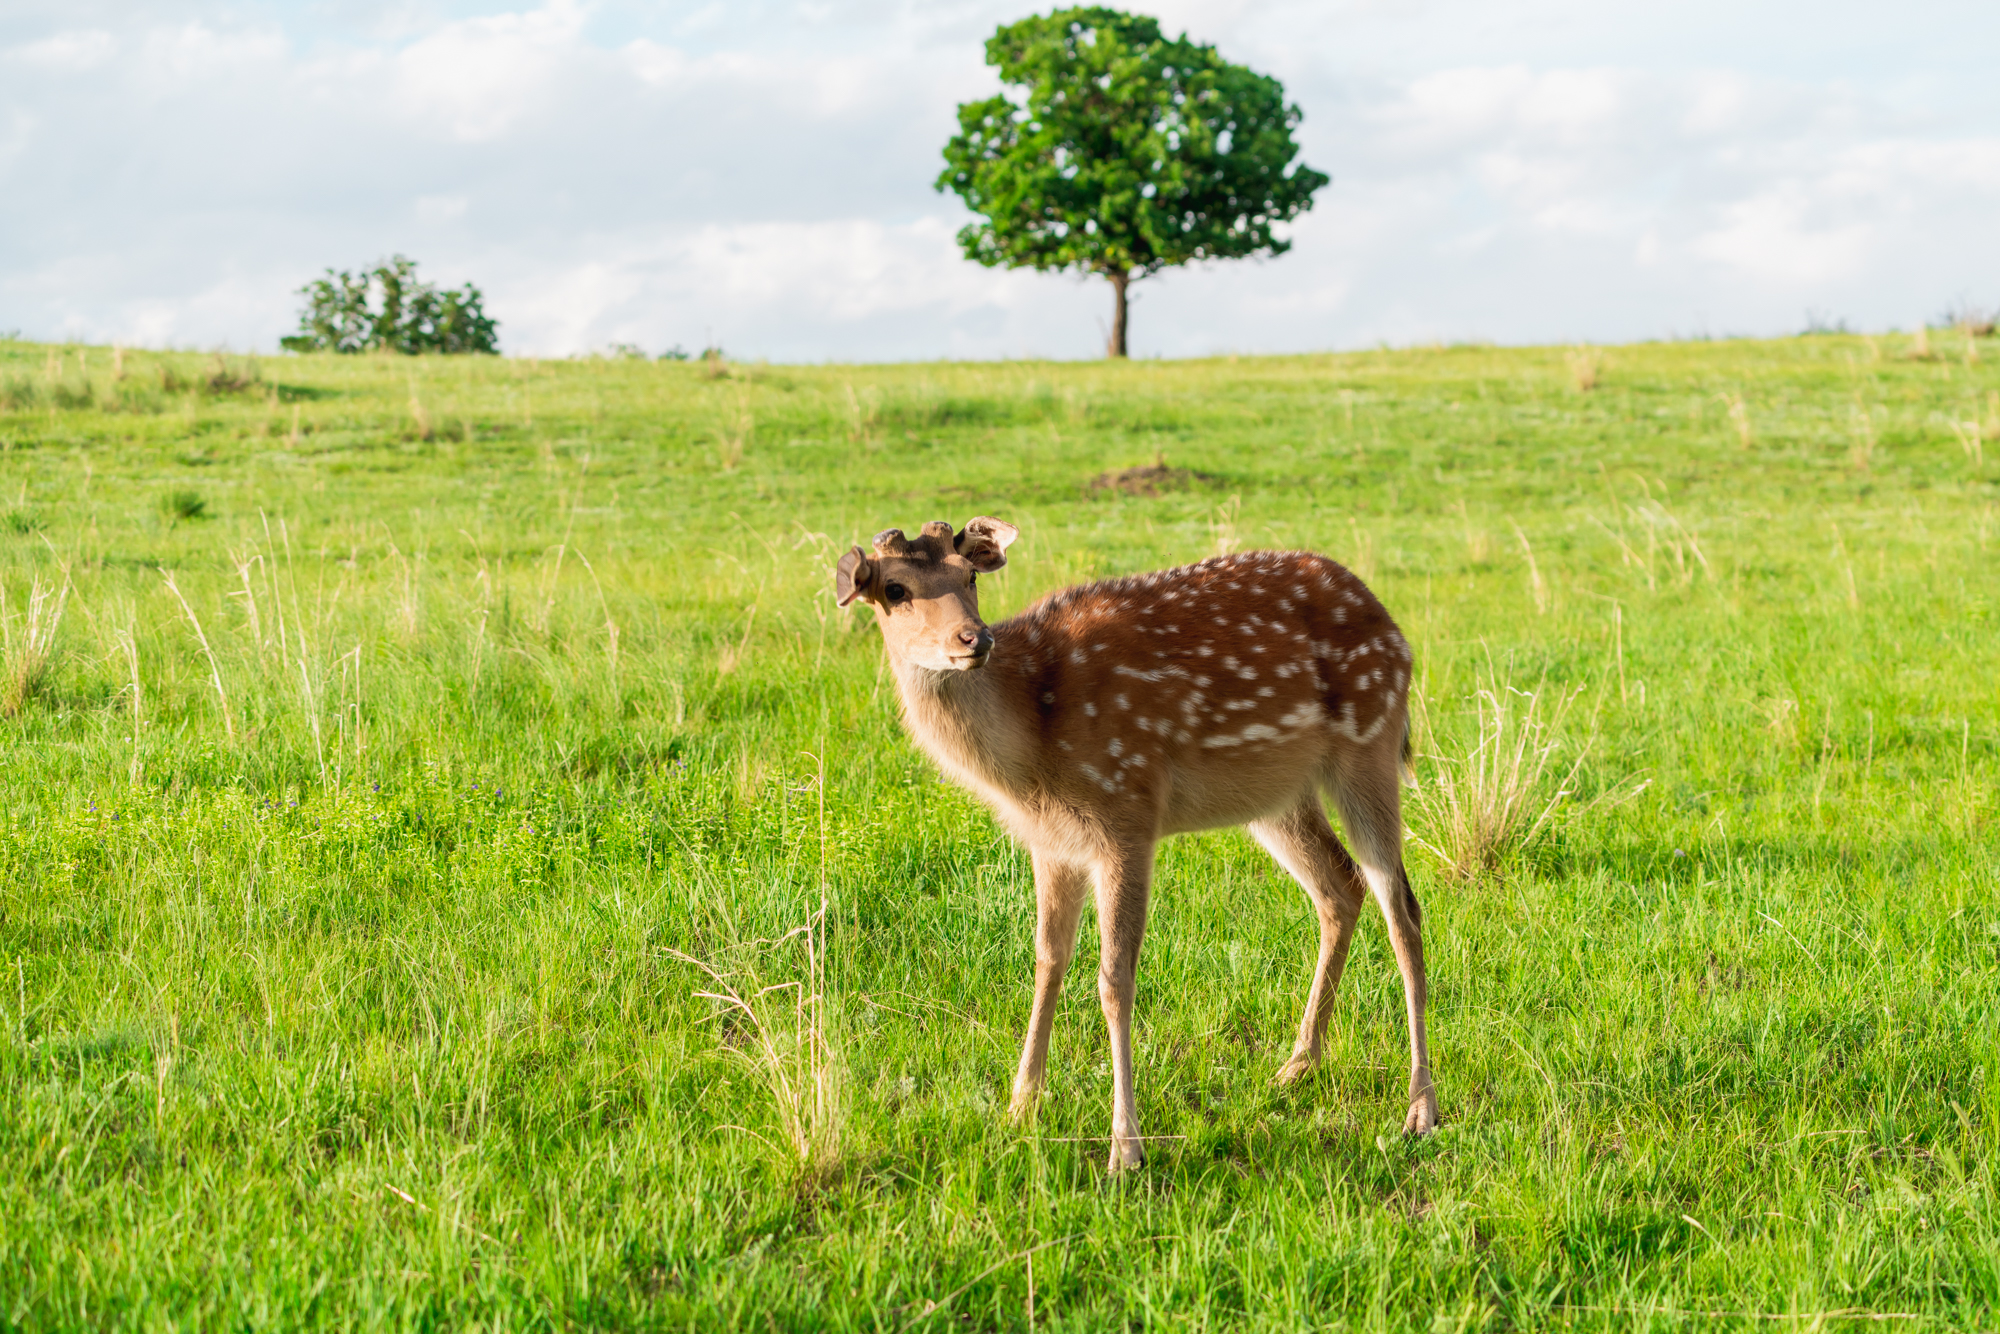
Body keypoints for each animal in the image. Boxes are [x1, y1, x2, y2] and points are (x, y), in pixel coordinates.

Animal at [836, 520, 1432, 1168]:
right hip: (1277, 795)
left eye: (968, 575)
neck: (1032, 739)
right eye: (894, 589)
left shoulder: (1127, 812)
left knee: (1402, 909)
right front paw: (1021, 1105)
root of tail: (1393, 628)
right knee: (1340, 887)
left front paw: (1126, 1146)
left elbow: (1114, 978)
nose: (975, 638)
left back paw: (1420, 1108)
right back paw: (1298, 1065)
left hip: (1370, 741)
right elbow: (1047, 960)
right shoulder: (1052, 842)